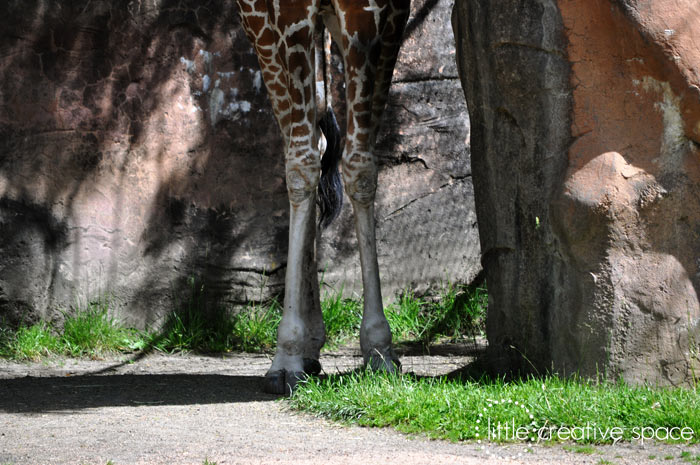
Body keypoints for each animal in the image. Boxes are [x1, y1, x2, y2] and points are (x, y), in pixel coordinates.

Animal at [237, 0, 410, 394]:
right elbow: (301, 168)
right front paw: (286, 358)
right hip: (258, 20)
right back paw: (302, 347)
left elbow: (361, 168)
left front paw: (380, 350)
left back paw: (313, 344)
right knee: (301, 150)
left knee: (317, 138)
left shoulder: (384, 13)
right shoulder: (288, 11)